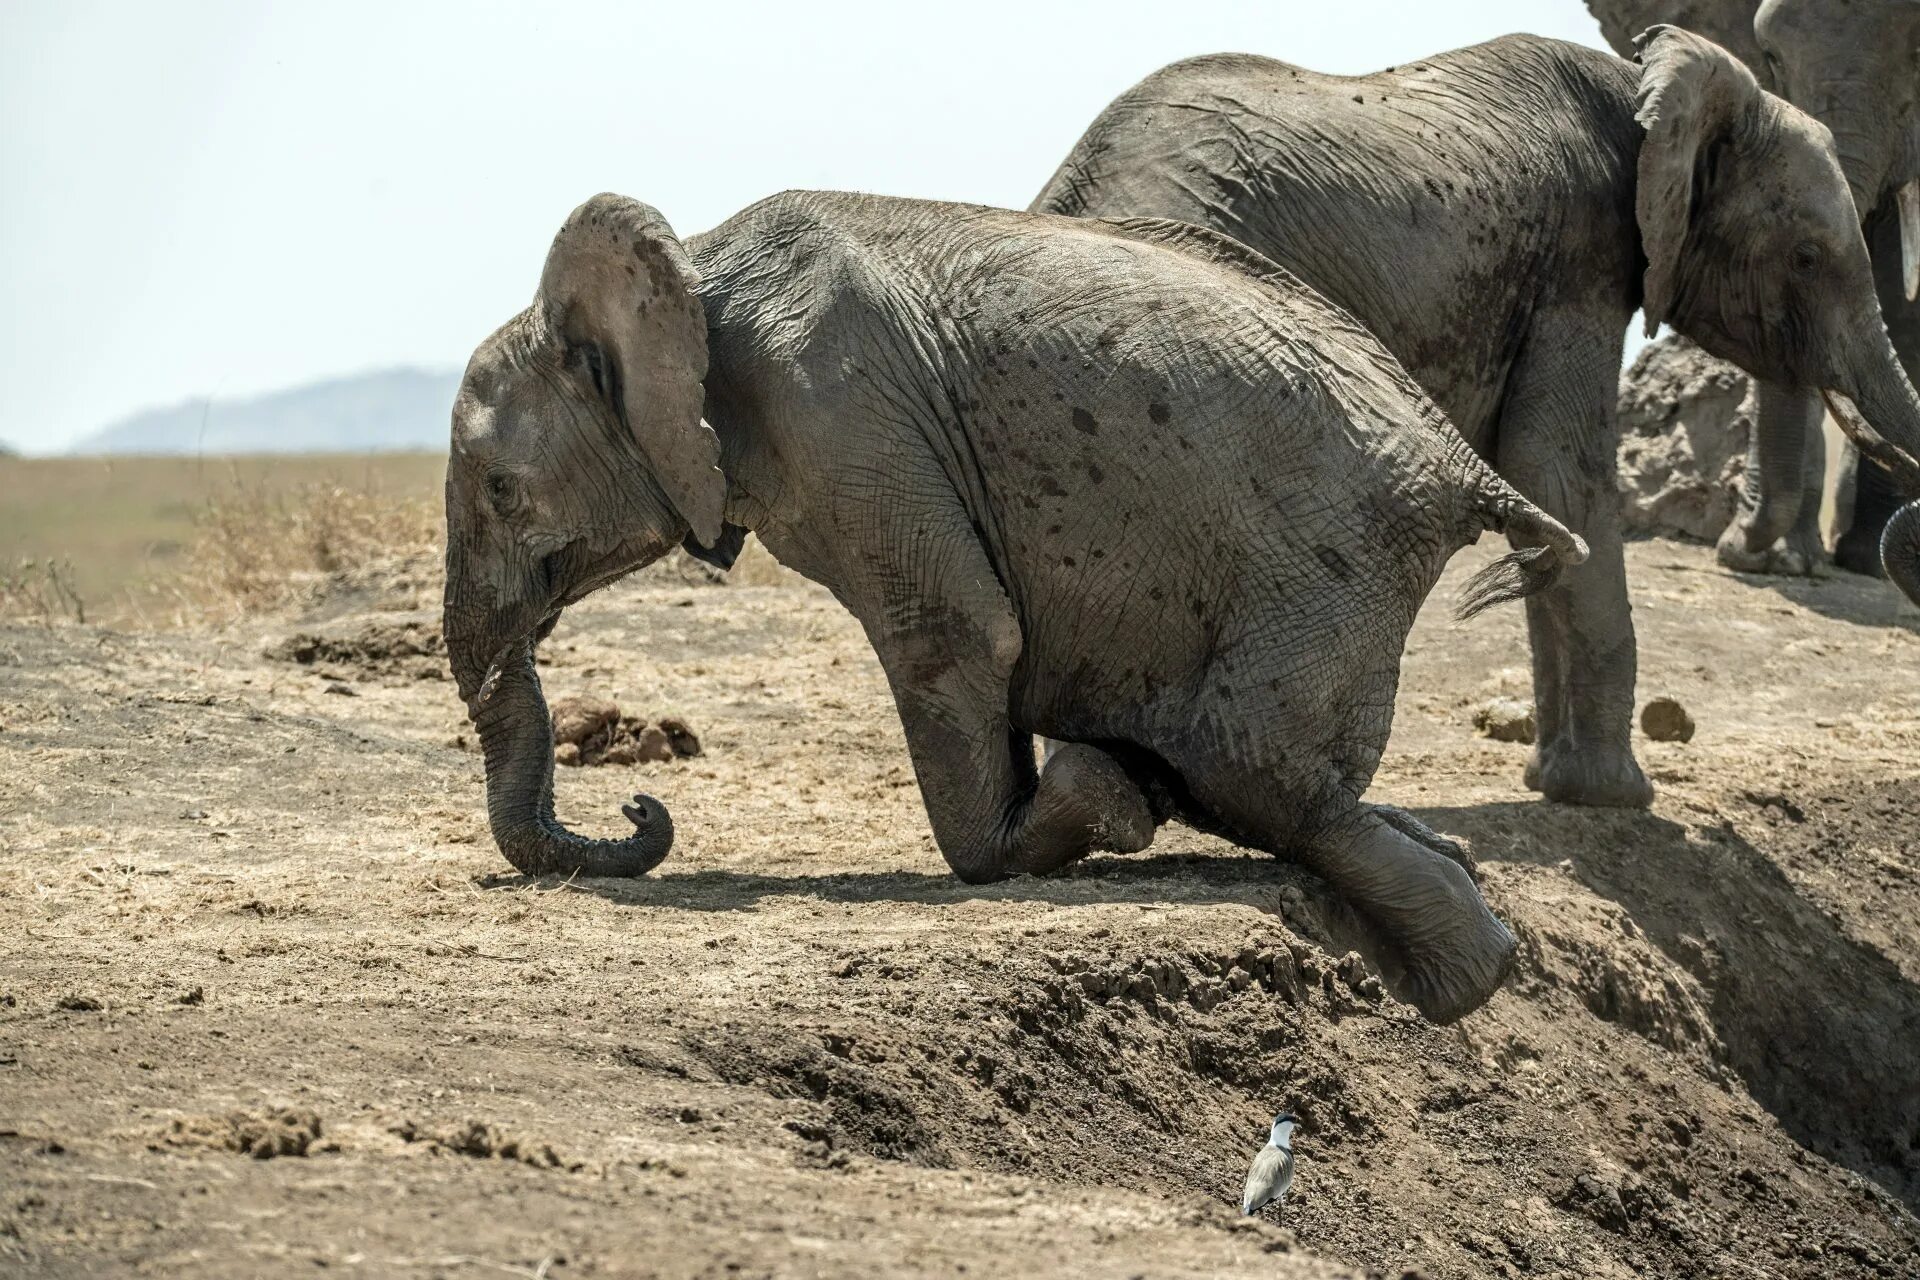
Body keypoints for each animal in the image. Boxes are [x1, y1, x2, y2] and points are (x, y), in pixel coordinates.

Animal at [445, 189, 1589, 1028]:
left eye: (500, 490)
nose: (641, 808)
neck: (695, 268)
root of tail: (1457, 461)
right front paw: (1106, 795)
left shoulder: (841, 413)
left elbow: (952, 635)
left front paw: (1086, 807)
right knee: (1263, 781)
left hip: (1326, 558)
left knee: (1246, 764)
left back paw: (1470, 969)